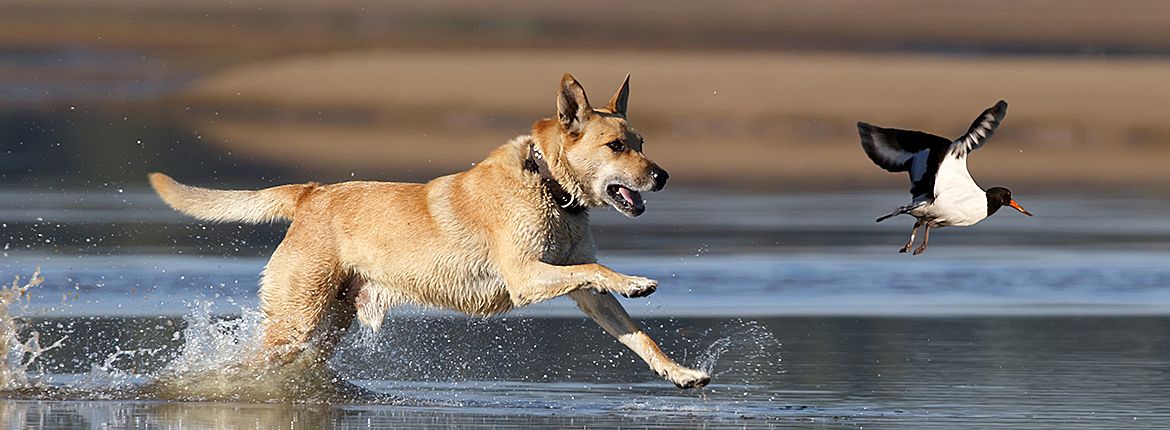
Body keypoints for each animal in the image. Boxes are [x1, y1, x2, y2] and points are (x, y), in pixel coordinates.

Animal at [148, 73, 711, 390]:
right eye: (617, 146)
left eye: (642, 142)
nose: (662, 176)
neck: (549, 185)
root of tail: (310, 194)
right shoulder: (525, 277)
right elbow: (599, 267)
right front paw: (636, 281)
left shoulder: (582, 291)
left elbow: (636, 332)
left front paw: (678, 372)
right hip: (297, 319)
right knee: (251, 361)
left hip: (329, 323)